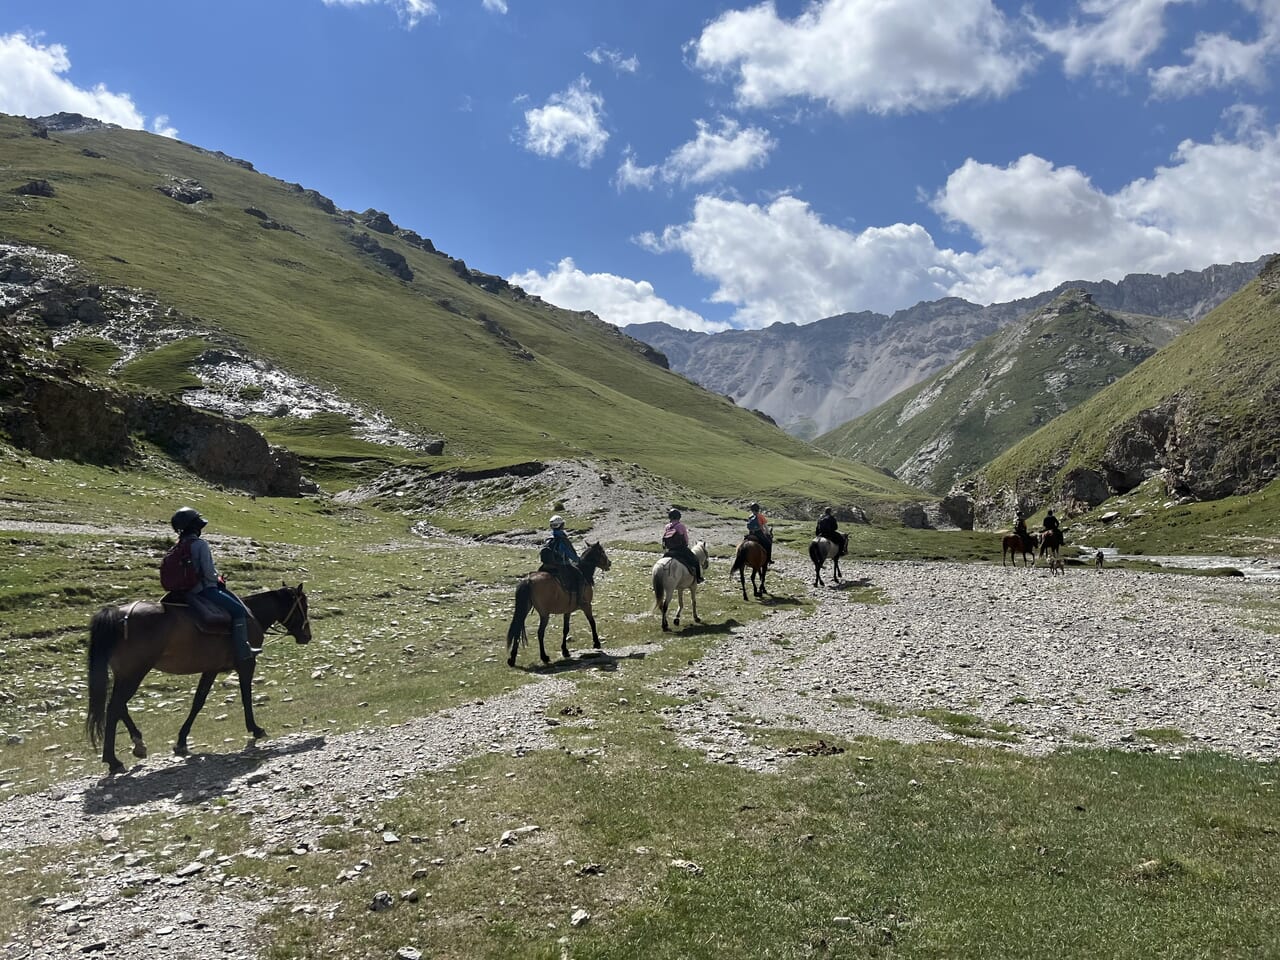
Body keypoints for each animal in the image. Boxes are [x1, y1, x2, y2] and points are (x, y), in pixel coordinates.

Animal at [85, 583, 312, 778]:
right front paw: (255, 728)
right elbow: (246, 695)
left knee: (118, 706)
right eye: (304, 605)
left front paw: (181, 741)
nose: (307, 636)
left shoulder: (210, 669)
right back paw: (113, 760)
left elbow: (198, 702)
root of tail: (118, 614)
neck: (252, 615)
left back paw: (138, 744)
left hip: (125, 674)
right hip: (135, 673)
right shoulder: (247, 663)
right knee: (114, 707)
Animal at [506, 542, 611, 670]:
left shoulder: (567, 611)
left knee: (517, 629)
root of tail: (528, 580)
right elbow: (592, 622)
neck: (583, 573)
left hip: (525, 610)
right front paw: (596, 643)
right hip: (544, 614)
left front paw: (565, 651)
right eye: (602, 552)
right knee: (540, 633)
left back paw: (512, 659)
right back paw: (544, 657)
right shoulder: (587, 606)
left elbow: (566, 629)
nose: (609, 563)